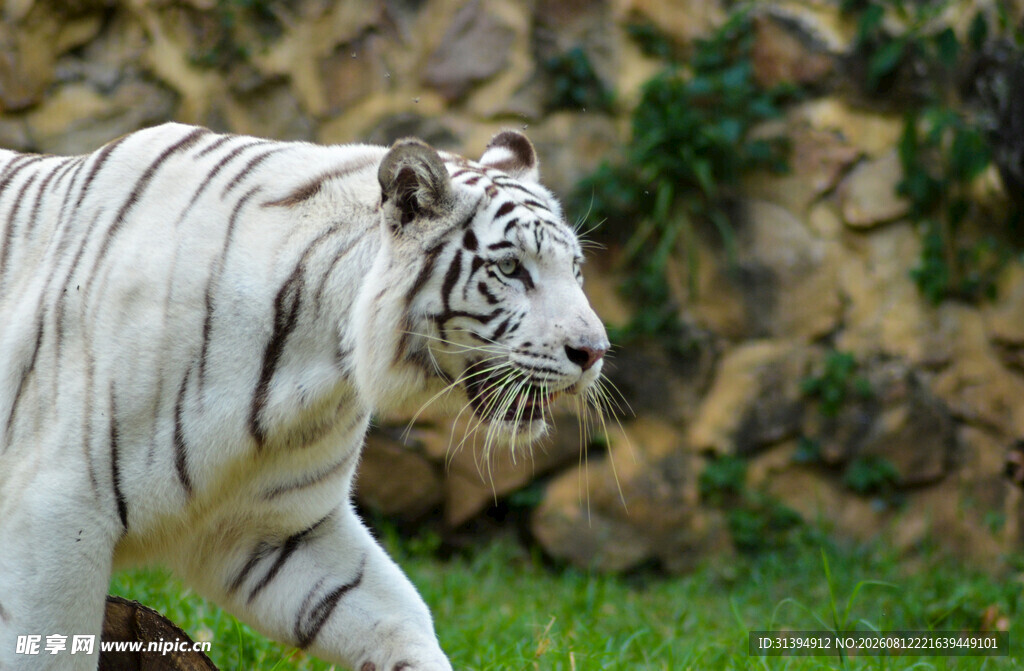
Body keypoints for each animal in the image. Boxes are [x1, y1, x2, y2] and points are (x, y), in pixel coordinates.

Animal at [0, 122, 610, 671]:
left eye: (576, 269)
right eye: (510, 268)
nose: (595, 351)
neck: (316, 364)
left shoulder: (278, 528)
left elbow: (399, 621)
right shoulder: (55, 516)